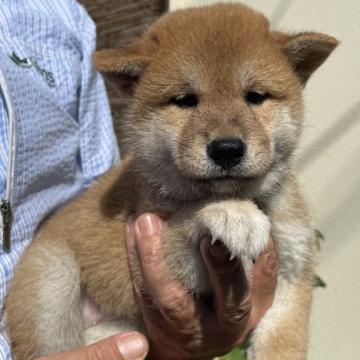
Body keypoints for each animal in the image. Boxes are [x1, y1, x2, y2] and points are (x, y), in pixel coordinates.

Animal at [6, 3, 338, 360]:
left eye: (255, 96)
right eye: (185, 100)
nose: (226, 148)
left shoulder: (293, 271)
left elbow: (283, 343)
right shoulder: (146, 253)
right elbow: (186, 222)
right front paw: (231, 213)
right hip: (53, 283)